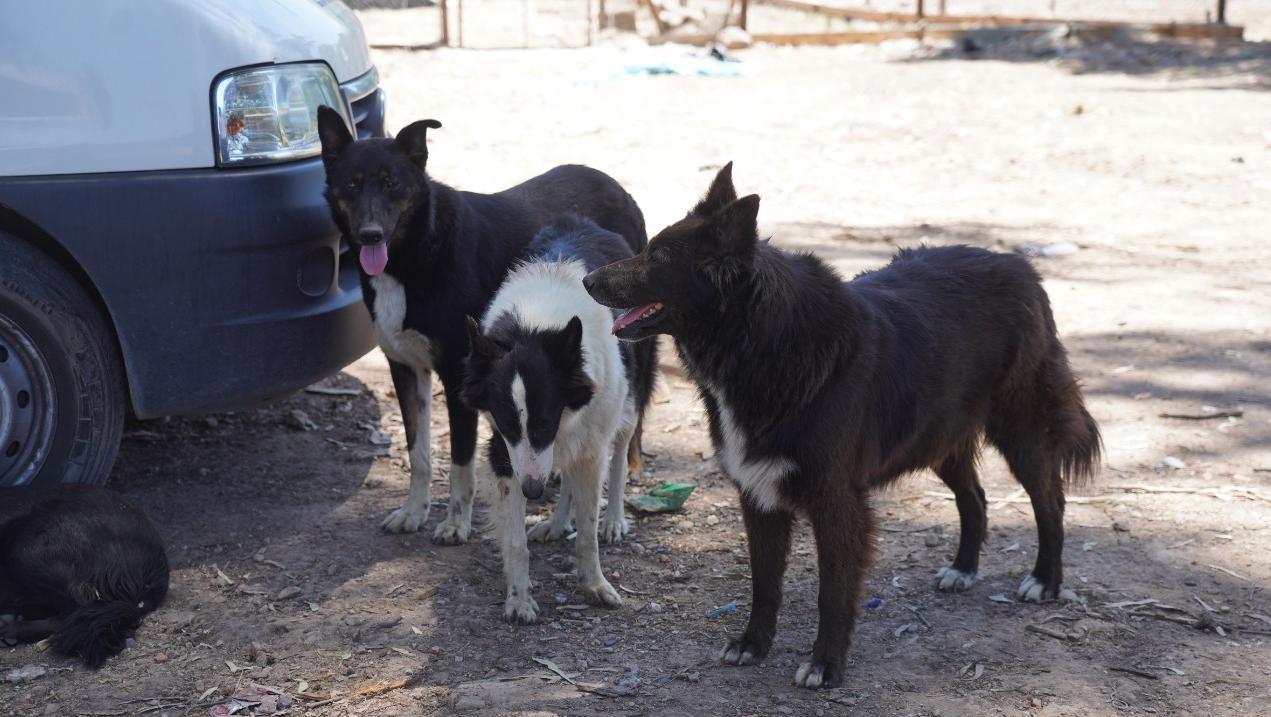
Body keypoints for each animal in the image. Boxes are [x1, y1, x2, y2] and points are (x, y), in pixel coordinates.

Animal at [462, 214, 650, 622]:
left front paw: (594, 584)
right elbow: (515, 539)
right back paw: (558, 521)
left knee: (619, 454)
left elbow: (588, 531)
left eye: (545, 423)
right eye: (507, 425)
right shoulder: (505, 452)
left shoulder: (587, 441)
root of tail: (583, 221)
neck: (535, 326)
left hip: (628, 404)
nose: (533, 492)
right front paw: (518, 598)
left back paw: (615, 519)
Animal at [582, 162, 1098, 686]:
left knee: (1050, 502)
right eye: (649, 247)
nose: (587, 280)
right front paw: (753, 644)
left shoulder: (837, 502)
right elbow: (764, 583)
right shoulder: (758, 494)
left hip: (1022, 433)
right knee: (974, 496)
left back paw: (1045, 580)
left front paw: (825, 664)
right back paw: (963, 569)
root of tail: (1021, 267)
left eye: (660, 257)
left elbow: (833, 591)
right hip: (938, 438)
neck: (762, 345)